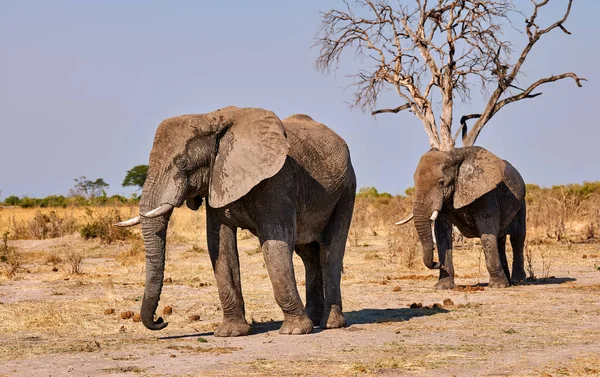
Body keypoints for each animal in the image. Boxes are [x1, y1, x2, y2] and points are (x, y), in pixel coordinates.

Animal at [116, 106, 356, 334]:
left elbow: (275, 246)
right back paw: (314, 318)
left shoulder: (276, 181)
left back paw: (330, 323)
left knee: (330, 252)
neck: (211, 119)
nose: (161, 320)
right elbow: (220, 247)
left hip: (346, 190)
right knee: (308, 255)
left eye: (183, 165)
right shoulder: (217, 181)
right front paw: (231, 332)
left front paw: (295, 331)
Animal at [398, 146, 524, 288]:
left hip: (521, 204)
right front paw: (442, 286)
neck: (454, 155)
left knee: (517, 239)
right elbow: (441, 233)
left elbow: (487, 232)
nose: (437, 263)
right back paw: (508, 282)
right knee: (500, 240)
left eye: (441, 182)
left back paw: (517, 281)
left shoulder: (485, 193)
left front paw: (497, 286)